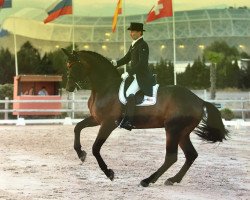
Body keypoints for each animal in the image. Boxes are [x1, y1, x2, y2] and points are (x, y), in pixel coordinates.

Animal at [61, 48, 228, 188]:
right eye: (67, 65)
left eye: (74, 66)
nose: (68, 88)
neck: (105, 87)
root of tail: (199, 100)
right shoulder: (96, 119)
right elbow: (77, 127)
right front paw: (81, 154)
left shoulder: (108, 123)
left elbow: (96, 148)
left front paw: (109, 173)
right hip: (182, 132)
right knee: (191, 155)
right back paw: (173, 179)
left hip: (173, 129)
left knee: (171, 157)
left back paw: (147, 180)